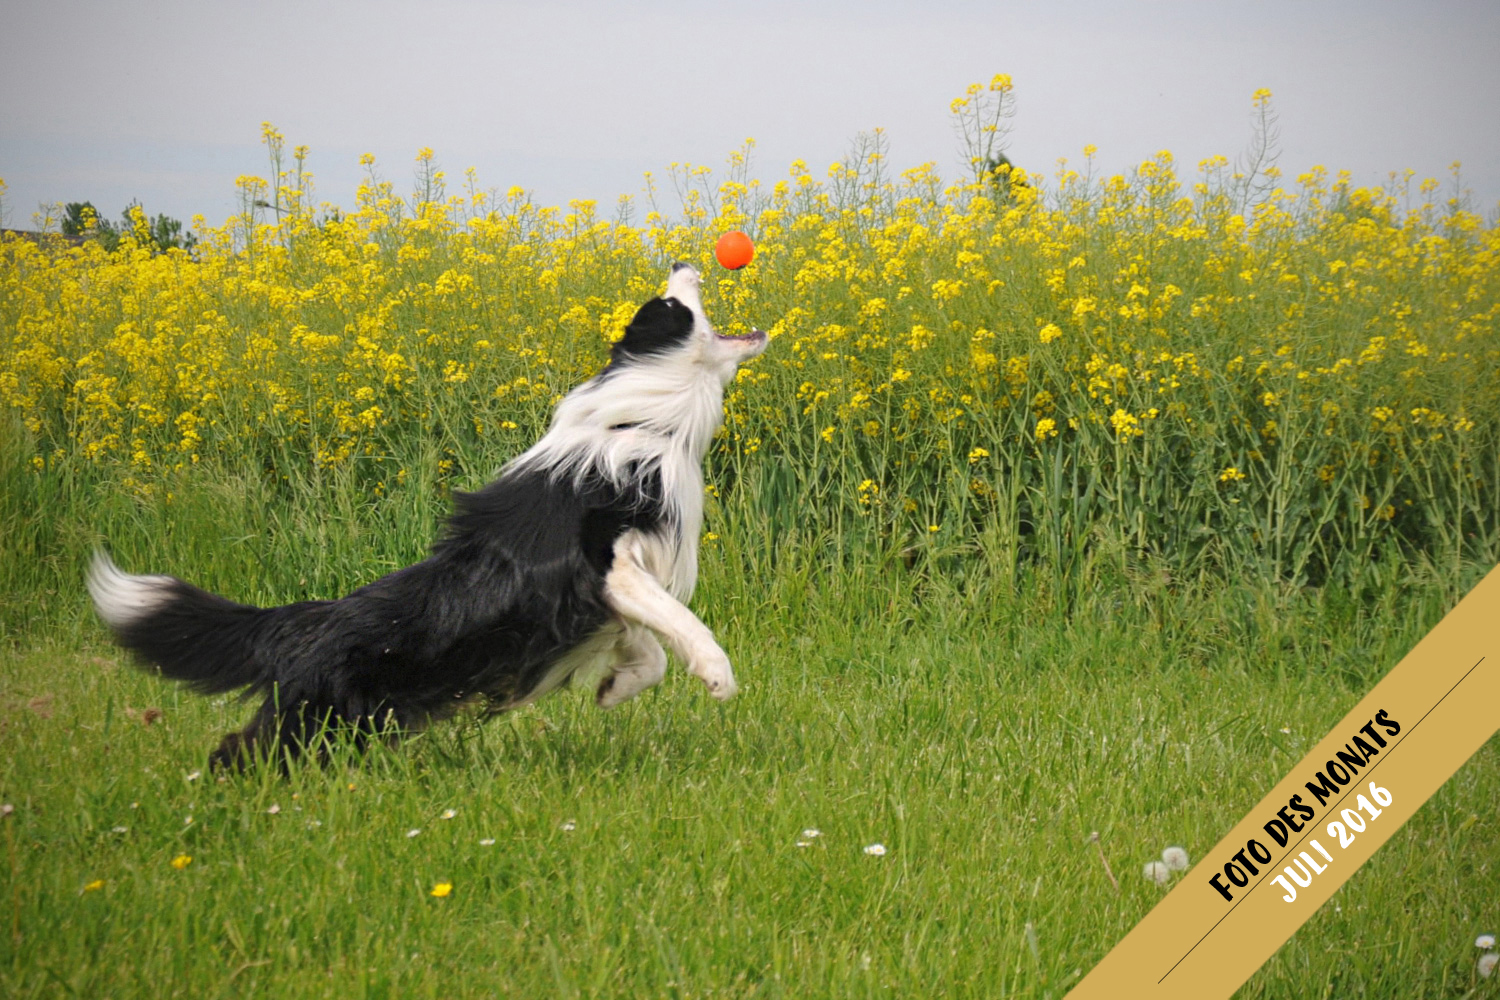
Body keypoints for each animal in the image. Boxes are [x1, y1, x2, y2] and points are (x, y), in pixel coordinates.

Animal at [90, 262, 774, 773]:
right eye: (672, 303)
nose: (683, 260)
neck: (644, 422)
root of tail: (307, 623)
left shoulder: (609, 594)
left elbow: (649, 649)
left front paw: (614, 688)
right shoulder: (607, 563)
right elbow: (680, 622)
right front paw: (717, 675)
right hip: (314, 724)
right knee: (238, 753)